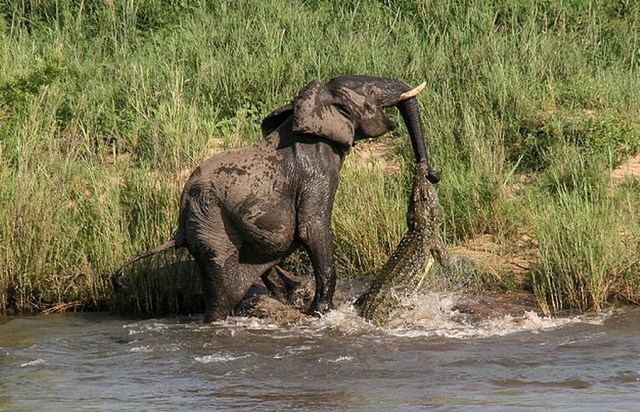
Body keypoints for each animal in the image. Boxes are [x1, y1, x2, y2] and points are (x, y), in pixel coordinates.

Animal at [112, 75, 438, 324]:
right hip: (211, 227)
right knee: (222, 292)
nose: (430, 173)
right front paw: (320, 312)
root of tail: (180, 225)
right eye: (370, 91)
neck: (312, 107)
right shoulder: (316, 168)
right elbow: (312, 228)